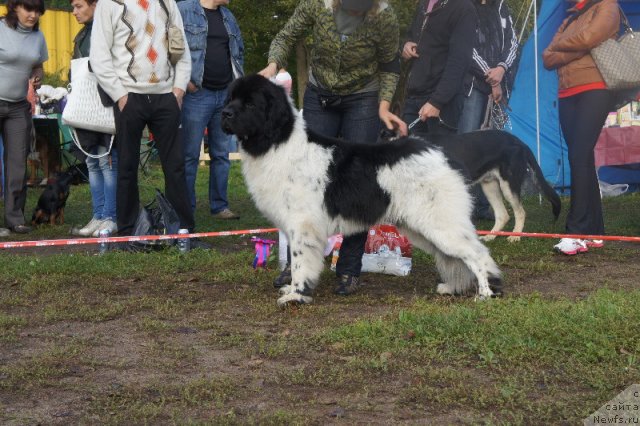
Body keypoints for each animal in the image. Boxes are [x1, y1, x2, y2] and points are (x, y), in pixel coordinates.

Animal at [222, 75, 502, 306]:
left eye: (250, 104)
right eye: (231, 98)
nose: (224, 113)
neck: (278, 141)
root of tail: (444, 155)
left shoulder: (303, 225)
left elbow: (300, 262)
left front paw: (297, 295)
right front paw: (292, 289)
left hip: (441, 224)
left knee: (478, 254)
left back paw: (486, 293)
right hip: (423, 229)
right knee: (455, 257)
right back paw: (453, 288)